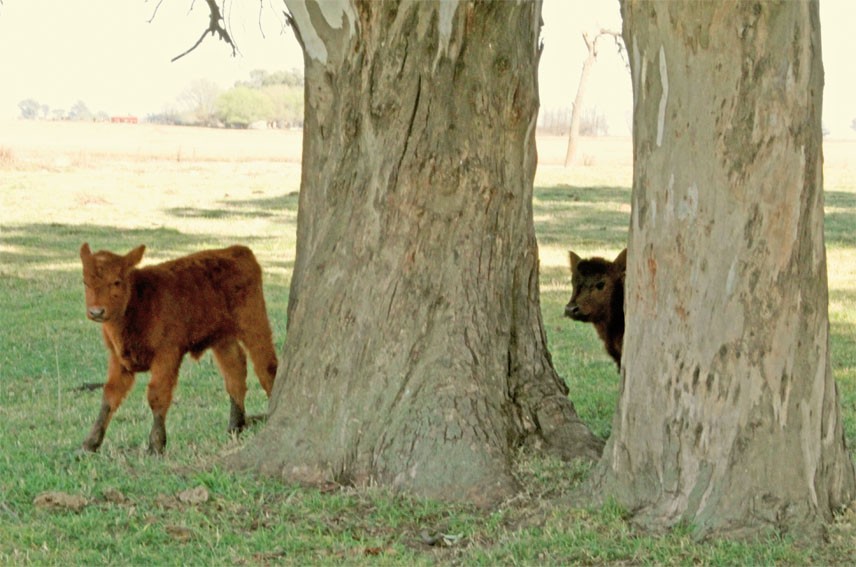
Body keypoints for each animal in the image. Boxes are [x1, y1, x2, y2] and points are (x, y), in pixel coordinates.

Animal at [79, 243, 276, 452]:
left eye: (116, 282)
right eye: (85, 282)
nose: (96, 312)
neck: (139, 301)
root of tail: (237, 250)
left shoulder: (166, 355)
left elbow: (157, 395)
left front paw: (156, 444)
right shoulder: (118, 359)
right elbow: (110, 395)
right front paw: (90, 443)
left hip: (254, 325)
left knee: (266, 367)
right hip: (222, 339)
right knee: (235, 372)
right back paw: (234, 427)